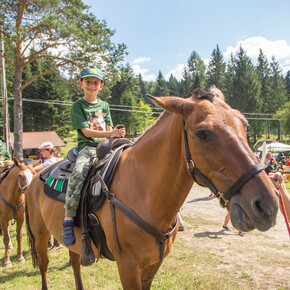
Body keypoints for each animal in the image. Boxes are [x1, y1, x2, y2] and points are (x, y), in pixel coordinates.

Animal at [24, 87, 278, 288]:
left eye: (245, 124)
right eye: (202, 134)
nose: (268, 205)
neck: (144, 192)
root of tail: (37, 175)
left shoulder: (151, 266)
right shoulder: (128, 267)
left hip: (73, 244)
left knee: (76, 264)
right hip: (40, 235)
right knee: (44, 267)